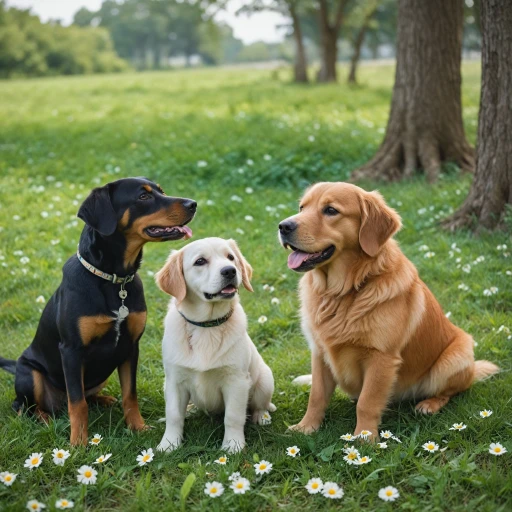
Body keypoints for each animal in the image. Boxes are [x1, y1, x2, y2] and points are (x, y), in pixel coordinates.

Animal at [0, 176, 196, 444]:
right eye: (143, 196)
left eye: (161, 191)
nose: (193, 204)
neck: (114, 280)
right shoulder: (71, 351)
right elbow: (77, 402)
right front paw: (79, 443)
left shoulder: (131, 345)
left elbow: (130, 394)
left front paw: (138, 427)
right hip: (30, 374)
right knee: (24, 406)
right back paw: (46, 420)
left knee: (86, 396)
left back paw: (104, 400)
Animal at [155, 238, 276, 454]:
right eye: (200, 261)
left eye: (230, 257)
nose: (230, 271)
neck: (207, 325)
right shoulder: (174, 380)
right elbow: (174, 415)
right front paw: (169, 444)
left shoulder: (236, 381)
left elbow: (233, 417)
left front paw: (233, 445)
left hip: (265, 380)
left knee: (259, 405)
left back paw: (261, 417)